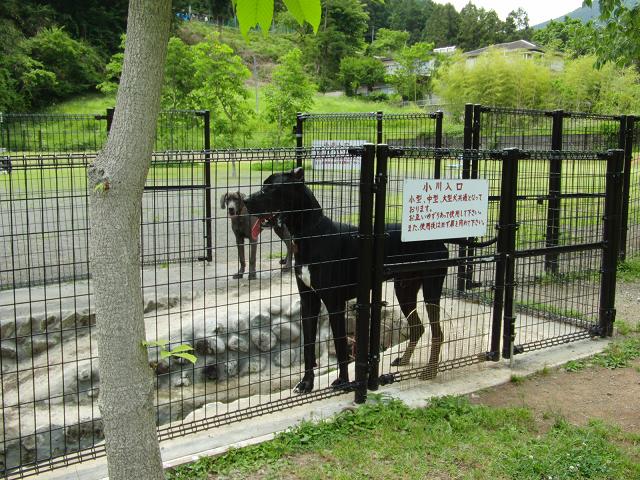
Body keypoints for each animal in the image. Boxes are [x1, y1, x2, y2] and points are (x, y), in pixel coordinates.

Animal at [245, 169, 450, 394]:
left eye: (270, 188)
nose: (245, 201)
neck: (311, 234)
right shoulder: (308, 302)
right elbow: (308, 346)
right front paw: (306, 383)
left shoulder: (335, 304)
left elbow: (341, 345)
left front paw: (343, 382)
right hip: (404, 289)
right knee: (418, 328)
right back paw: (404, 360)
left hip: (431, 288)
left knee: (437, 332)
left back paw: (430, 371)